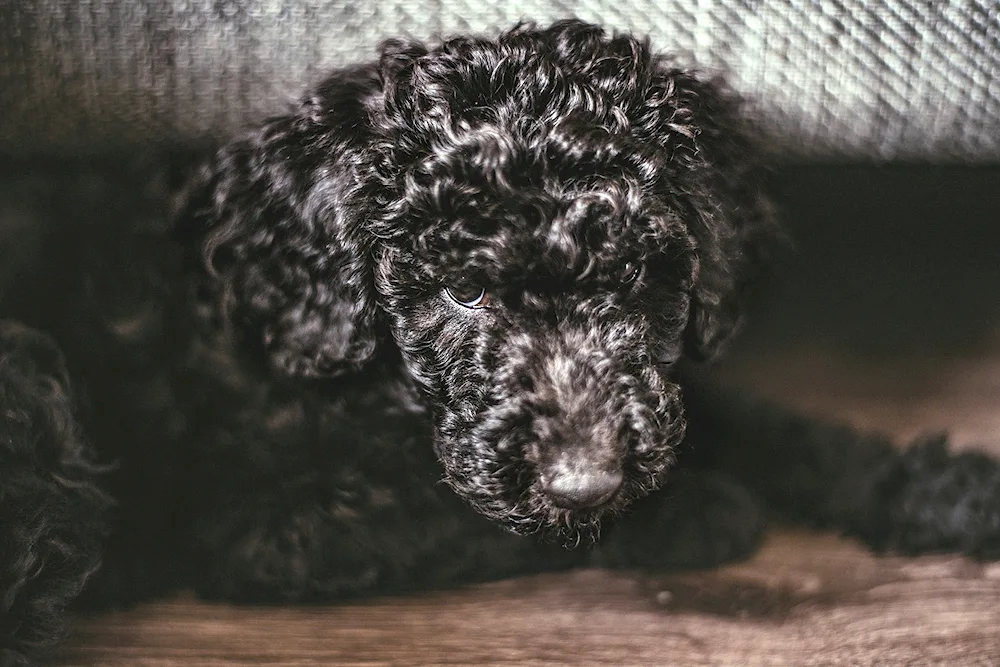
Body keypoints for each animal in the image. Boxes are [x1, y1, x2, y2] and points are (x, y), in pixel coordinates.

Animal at [1, 20, 1000, 667]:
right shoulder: (274, 526)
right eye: (463, 289)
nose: (586, 479)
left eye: (638, 280)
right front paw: (697, 510)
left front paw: (944, 489)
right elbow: (472, 518)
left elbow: (766, 423)